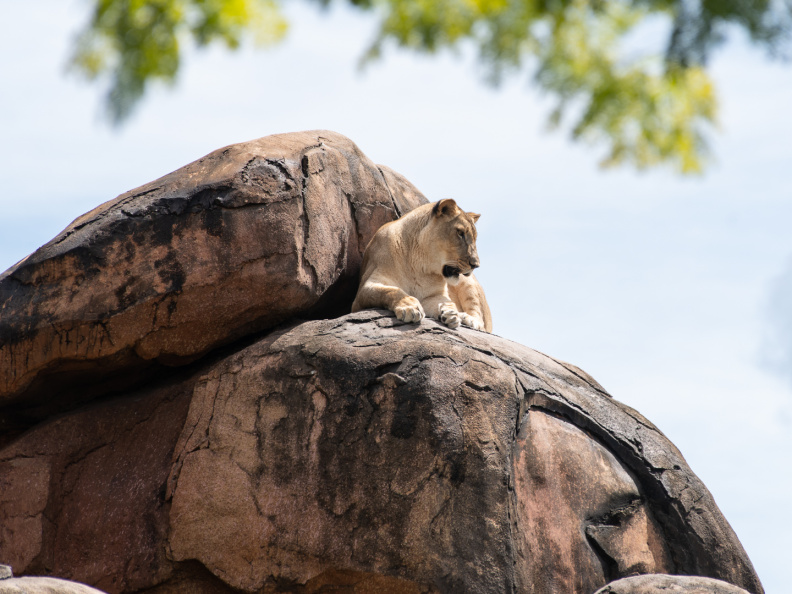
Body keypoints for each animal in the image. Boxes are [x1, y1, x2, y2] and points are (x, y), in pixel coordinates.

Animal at [351, 198, 492, 332]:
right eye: (460, 233)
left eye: (474, 238)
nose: (476, 264)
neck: (420, 265)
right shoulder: (363, 291)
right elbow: (391, 291)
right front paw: (410, 307)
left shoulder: (432, 295)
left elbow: (445, 301)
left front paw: (451, 313)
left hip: (468, 284)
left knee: (481, 323)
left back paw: (466, 318)